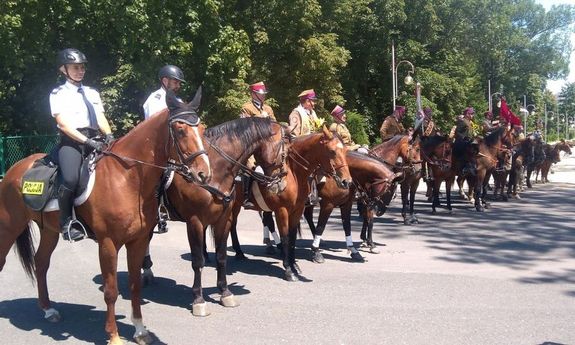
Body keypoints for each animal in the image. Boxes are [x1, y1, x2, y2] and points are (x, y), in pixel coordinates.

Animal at [0, 90, 209, 342]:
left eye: (203, 129)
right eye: (180, 130)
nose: (203, 174)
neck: (127, 178)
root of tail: (15, 168)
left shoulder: (137, 241)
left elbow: (135, 285)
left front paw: (140, 330)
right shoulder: (108, 244)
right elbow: (111, 291)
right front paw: (114, 336)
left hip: (48, 231)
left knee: (41, 263)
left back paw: (49, 310)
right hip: (9, 226)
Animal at [153, 117, 288, 314]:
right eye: (284, 150)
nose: (282, 183)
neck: (214, 171)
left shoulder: (223, 220)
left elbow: (221, 256)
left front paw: (225, 292)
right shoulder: (194, 221)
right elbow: (197, 261)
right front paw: (198, 299)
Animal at [227, 127, 354, 280]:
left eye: (345, 151)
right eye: (332, 151)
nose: (347, 182)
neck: (293, 174)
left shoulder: (297, 210)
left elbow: (292, 237)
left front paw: (294, 266)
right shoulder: (282, 210)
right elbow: (286, 237)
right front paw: (288, 269)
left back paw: (240, 252)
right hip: (233, 205)